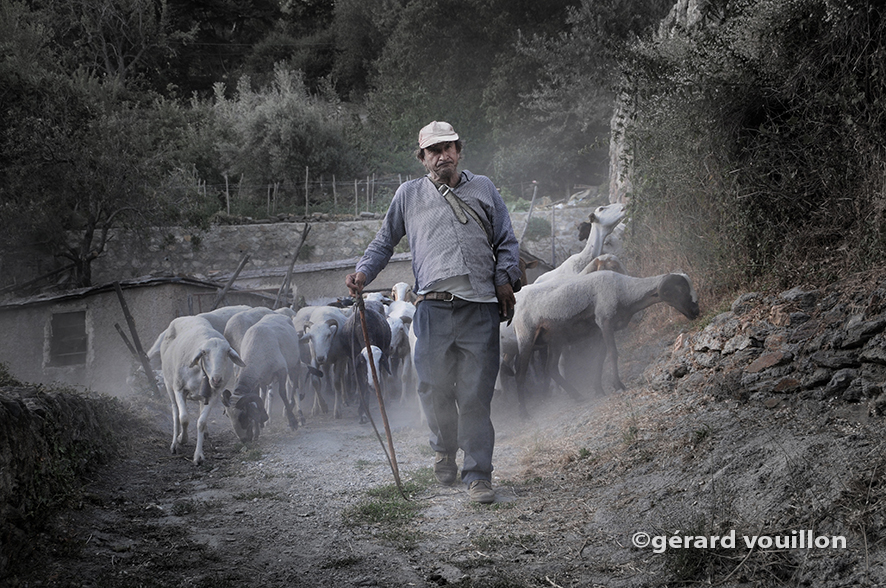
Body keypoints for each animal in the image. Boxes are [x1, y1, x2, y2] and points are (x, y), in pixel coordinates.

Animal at [160, 314, 248, 466]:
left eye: (227, 353)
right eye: (204, 352)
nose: (216, 379)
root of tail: (186, 316)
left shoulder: (214, 394)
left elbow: (200, 422)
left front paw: (198, 456)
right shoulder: (179, 389)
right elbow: (184, 418)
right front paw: (181, 439)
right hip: (168, 382)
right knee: (175, 412)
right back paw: (175, 443)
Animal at [512, 272, 700, 418]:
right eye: (681, 290)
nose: (696, 312)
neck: (623, 290)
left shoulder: (601, 330)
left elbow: (600, 358)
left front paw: (598, 389)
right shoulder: (605, 321)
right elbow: (613, 354)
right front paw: (618, 386)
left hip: (556, 339)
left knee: (551, 368)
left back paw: (577, 396)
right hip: (526, 336)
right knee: (520, 374)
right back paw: (523, 414)